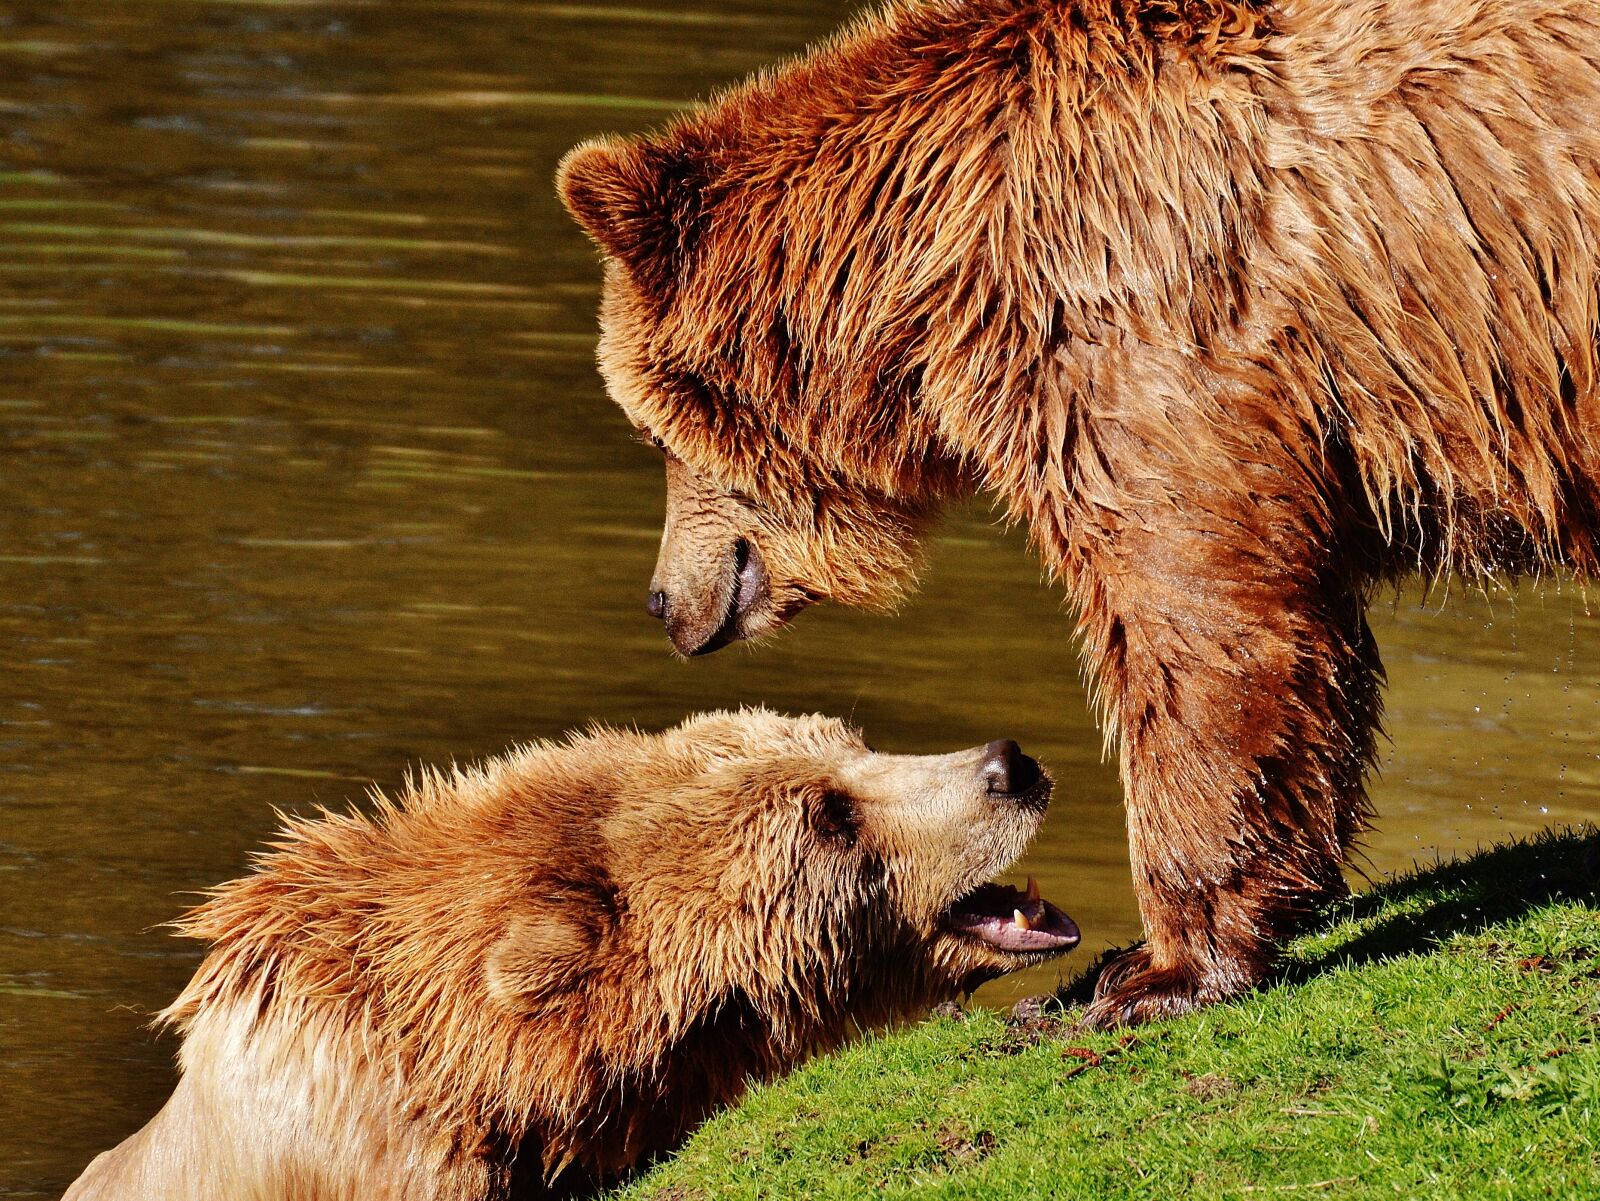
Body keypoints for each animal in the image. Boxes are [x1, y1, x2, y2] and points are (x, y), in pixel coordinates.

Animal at [557, 0, 1600, 1028]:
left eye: (646, 427)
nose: (661, 602)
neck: (929, 263)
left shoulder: (1140, 330)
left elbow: (1198, 621)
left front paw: (1156, 968)